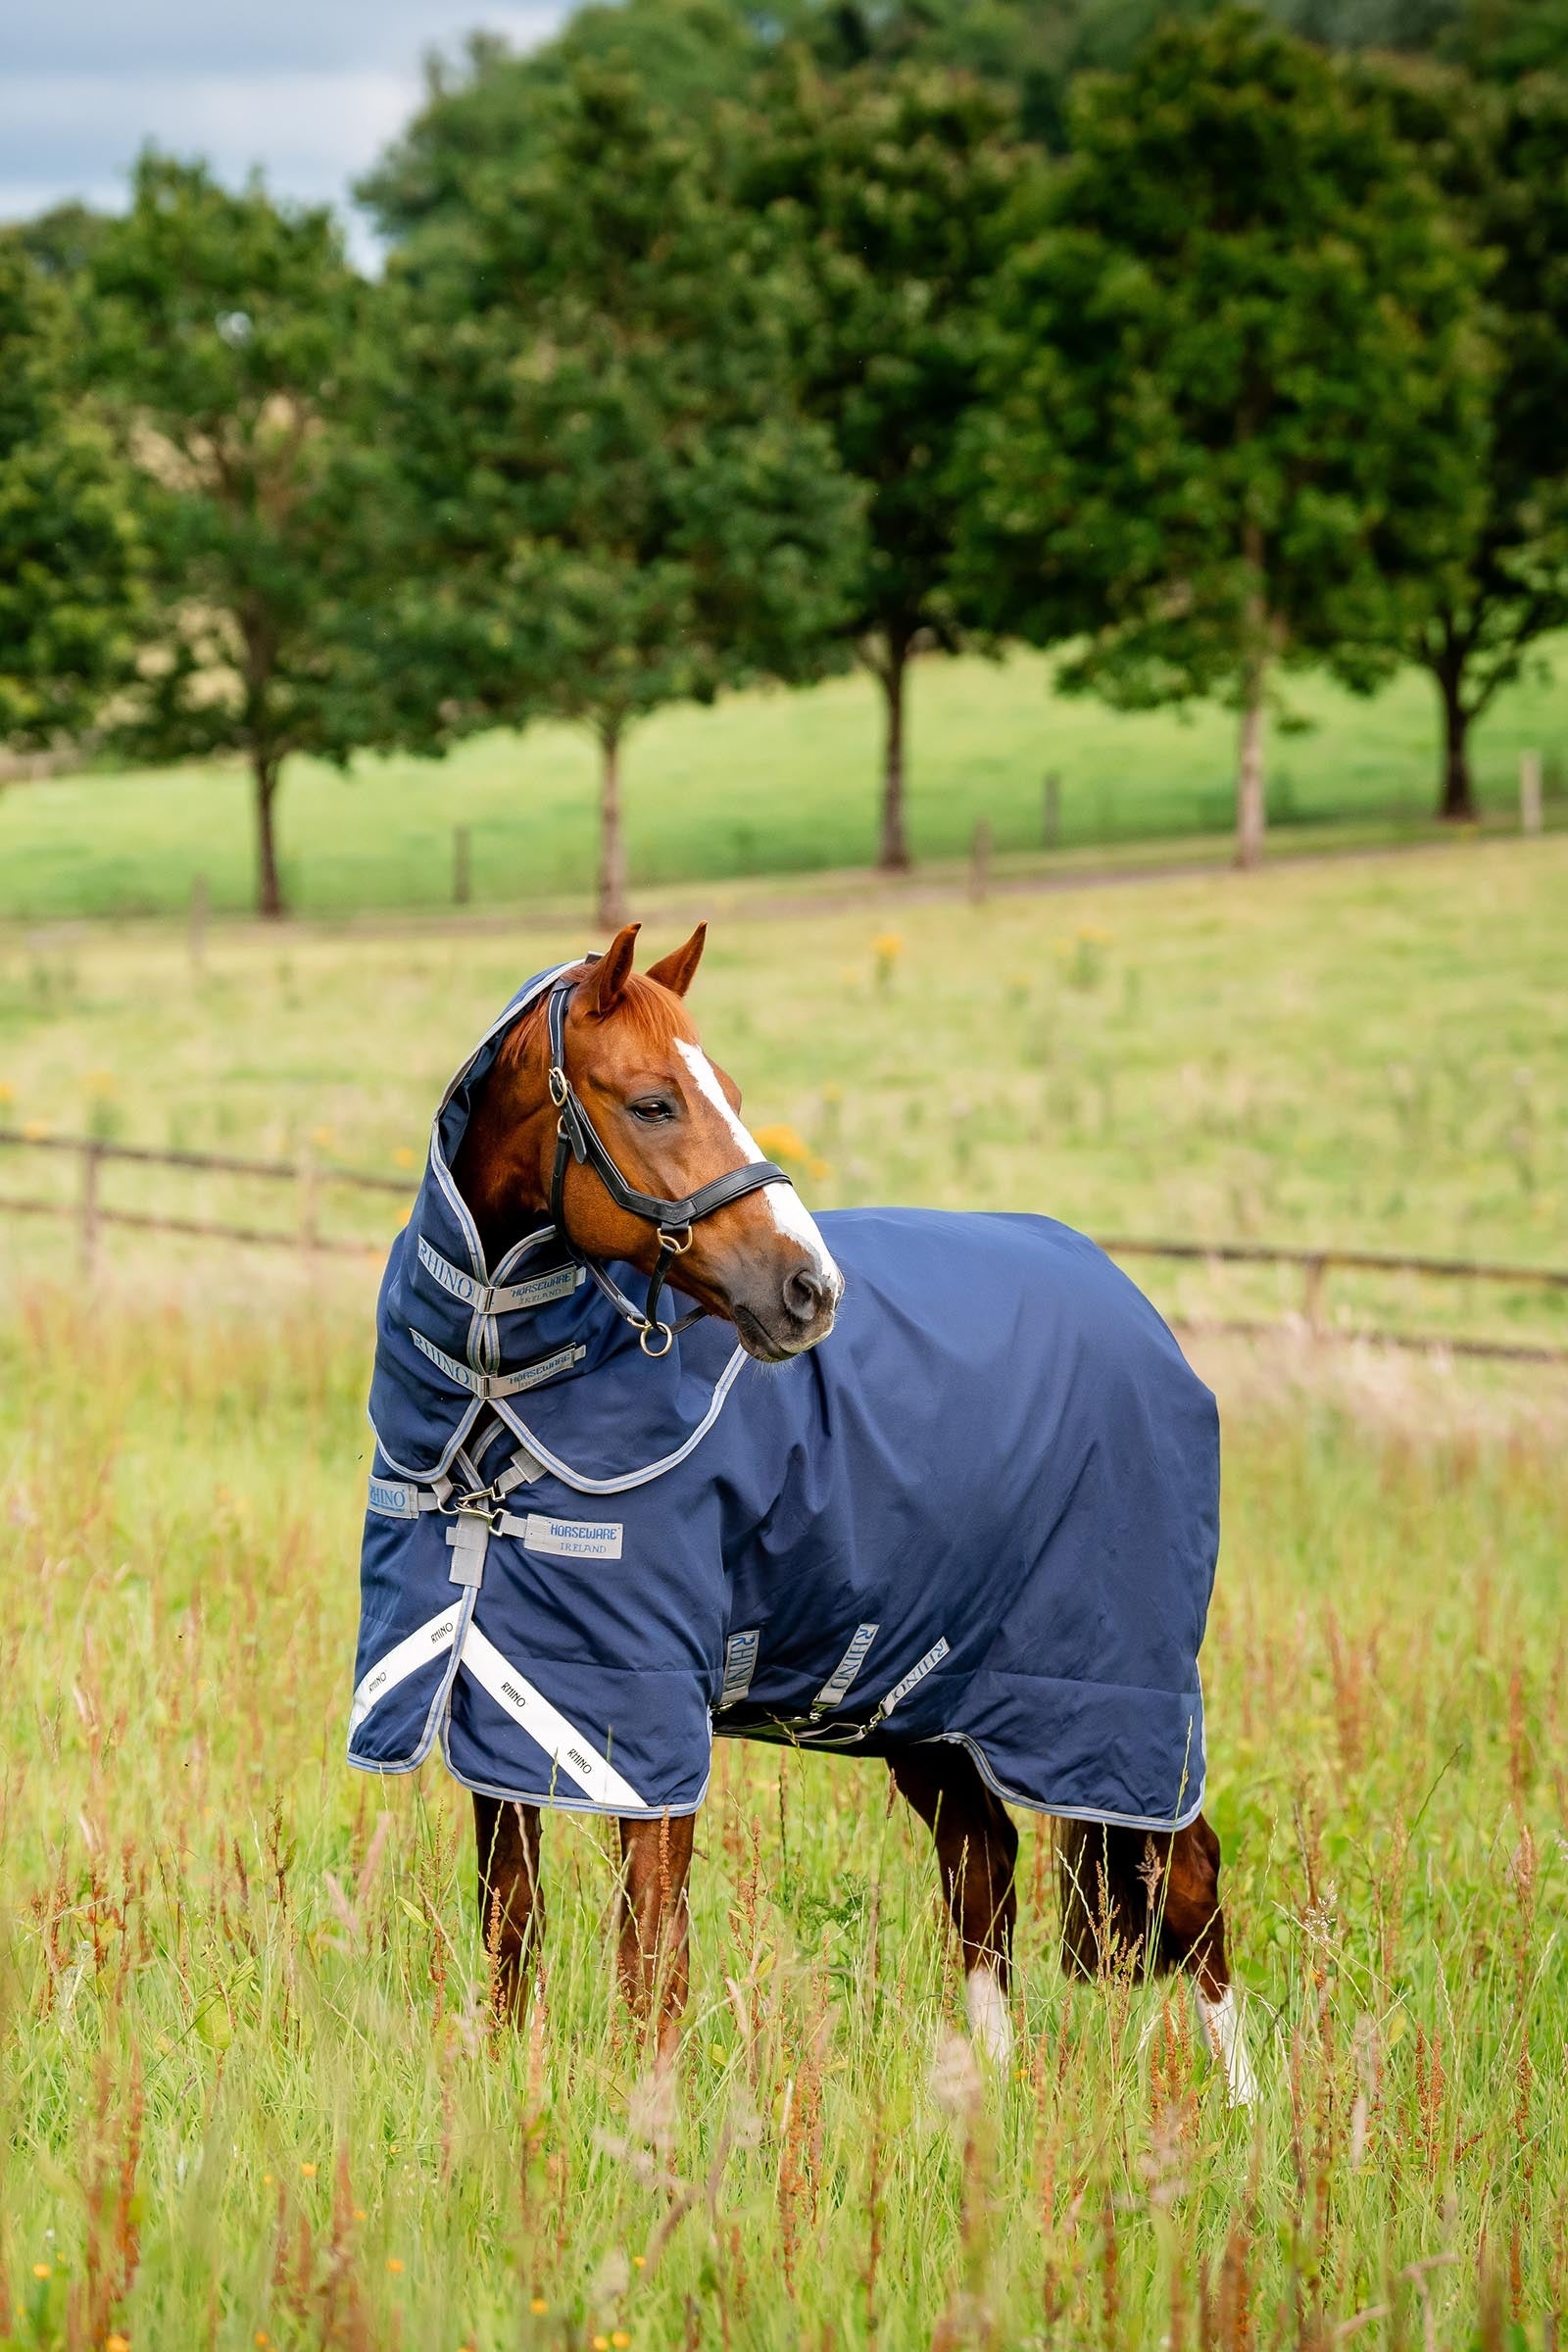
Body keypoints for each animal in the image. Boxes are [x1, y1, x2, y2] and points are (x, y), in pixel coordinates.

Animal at [348, 923, 1254, 2108]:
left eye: (729, 1093)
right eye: (653, 1102)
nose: (809, 1291)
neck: (505, 1400)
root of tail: (1143, 1318)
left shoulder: (642, 1724)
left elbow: (651, 1957)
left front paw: (650, 2123)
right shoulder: (492, 1698)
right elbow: (514, 1928)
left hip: (1116, 1705)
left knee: (1185, 1876)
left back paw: (1246, 2113)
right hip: (934, 1699)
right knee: (983, 1868)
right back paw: (990, 2098)